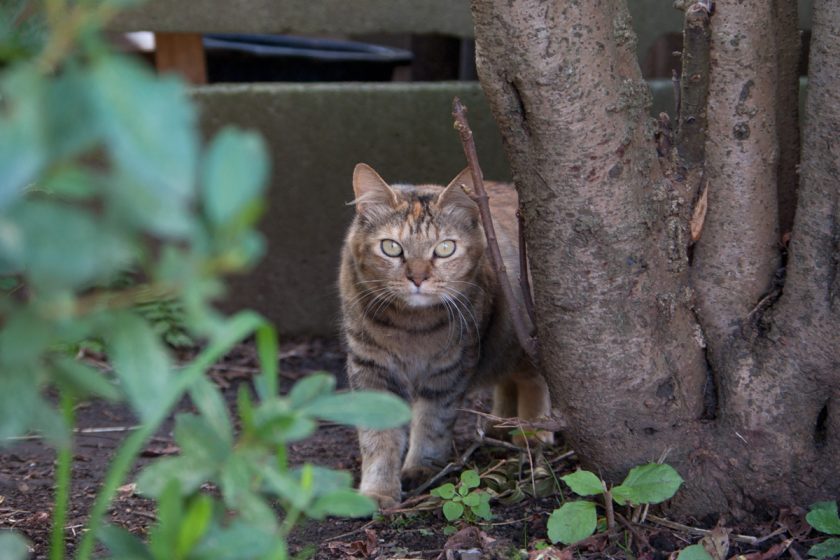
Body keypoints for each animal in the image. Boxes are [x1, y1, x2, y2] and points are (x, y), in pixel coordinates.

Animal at [340, 162, 552, 508]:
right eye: (391, 248)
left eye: (444, 248)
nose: (417, 278)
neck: (410, 328)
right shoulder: (371, 367)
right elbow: (378, 439)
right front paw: (378, 491)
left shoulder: (449, 370)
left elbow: (432, 424)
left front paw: (420, 468)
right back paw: (500, 424)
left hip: (522, 335)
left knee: (533, 380)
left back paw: (531, 432)